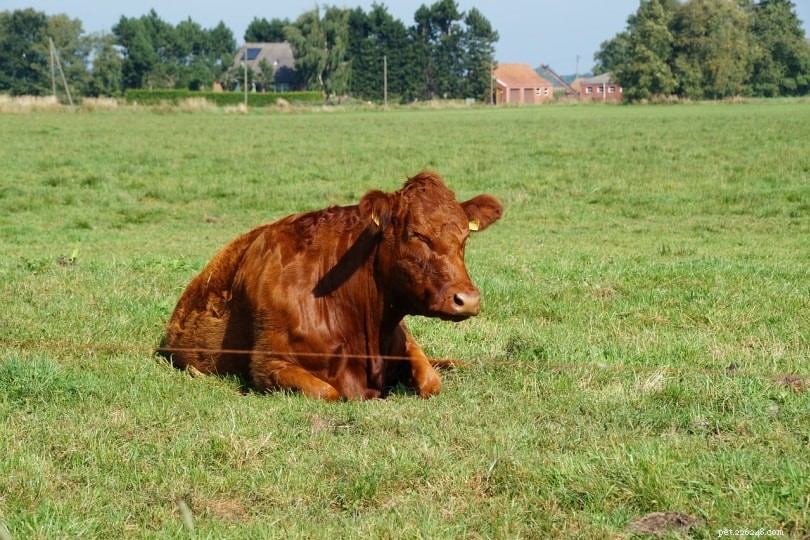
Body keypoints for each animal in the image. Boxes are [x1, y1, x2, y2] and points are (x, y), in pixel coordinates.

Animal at [161, 171, 503, 400]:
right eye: (416, 234)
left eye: (465, 236)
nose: (467, 299)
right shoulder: (267, 363)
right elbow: (328, 392)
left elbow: (431, 381)